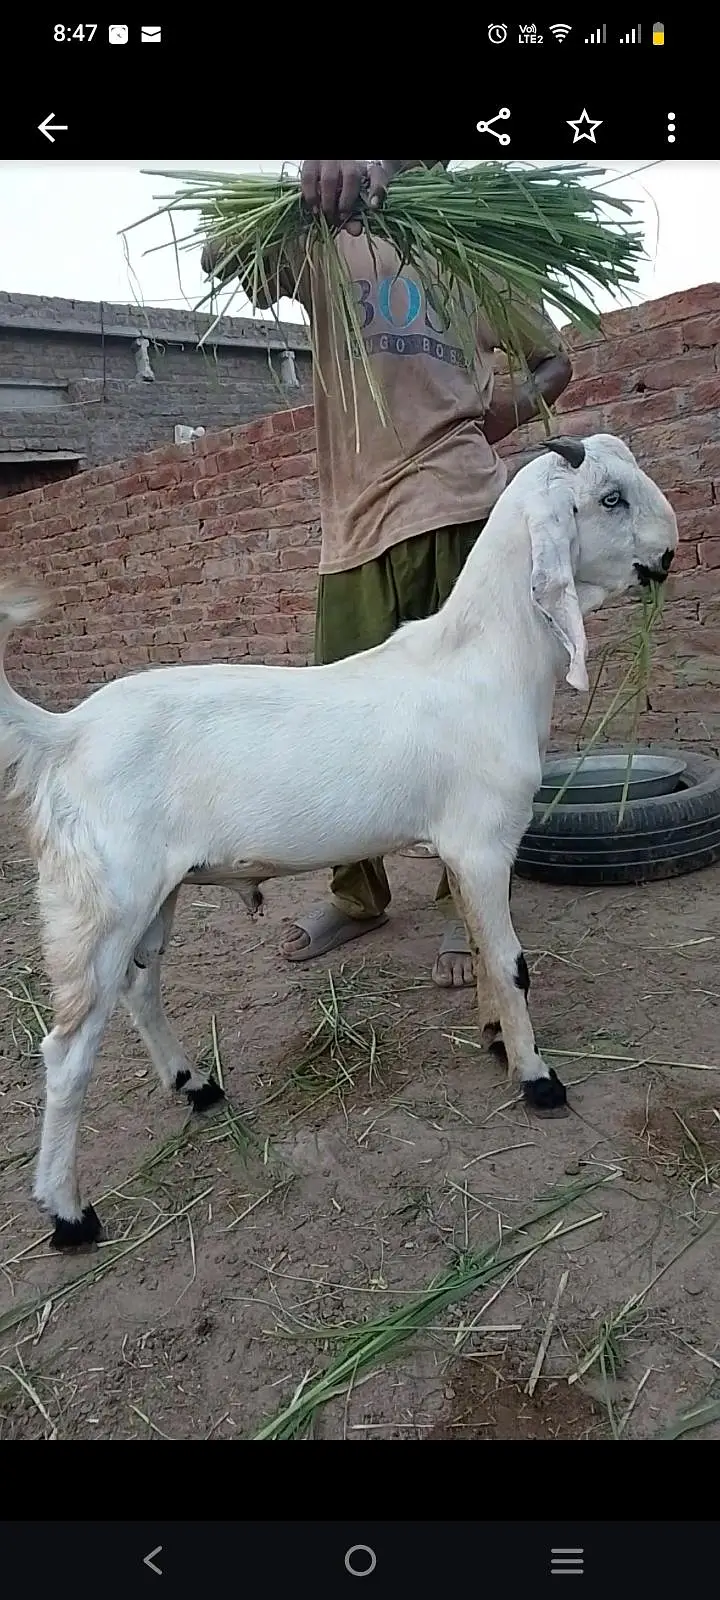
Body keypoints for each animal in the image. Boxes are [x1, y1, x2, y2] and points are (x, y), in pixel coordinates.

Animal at [0, 434, 678, 1250]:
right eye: (611, 498)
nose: (669, 554)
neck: (480, 662)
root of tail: (64, 734)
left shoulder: (465, 851)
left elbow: (484, 951)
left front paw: (495, 1039)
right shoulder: (483, 842)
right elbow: (513, 963)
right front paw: (538, 1079)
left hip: (152, 894)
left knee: (139, 987)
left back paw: (195, 1086)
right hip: (100, 899)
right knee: (67, 1051)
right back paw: (69, 1214)